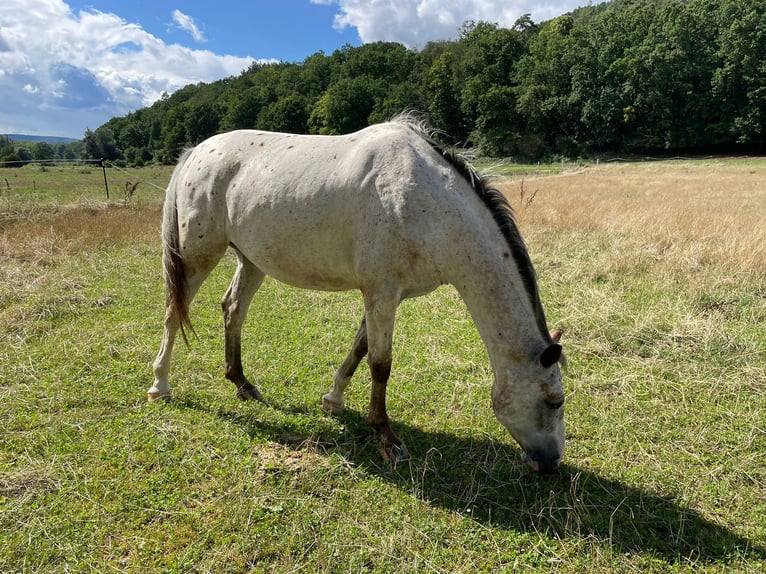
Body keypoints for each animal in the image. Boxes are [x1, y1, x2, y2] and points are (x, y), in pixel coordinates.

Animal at [148, 115, 566, 474]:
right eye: (554, 401)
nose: (551, 464)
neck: (429, 204)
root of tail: (196, 152)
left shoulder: (384, 295)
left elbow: (361, 347)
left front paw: (334, 400)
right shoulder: (381, 292)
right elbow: (381, 364)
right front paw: (386, 437)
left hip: (251, 262)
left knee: (233, 309)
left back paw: (242, 383)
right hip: (198, 256)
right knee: (173, 314)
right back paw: (160, 386)